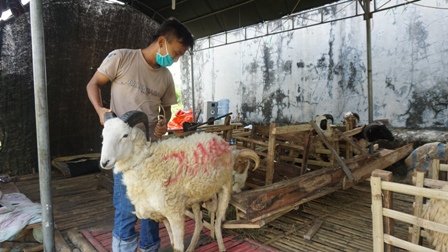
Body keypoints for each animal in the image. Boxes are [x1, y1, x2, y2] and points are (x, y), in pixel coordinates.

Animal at [100, 110, 238, 252]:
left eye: (125, 135)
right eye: (103, 135)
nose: (104, 162)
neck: (145, 162)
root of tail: (218, 138)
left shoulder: (174, 213)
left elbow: (178, 248)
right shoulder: (161, 214)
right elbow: (172, 243)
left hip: (226, 186)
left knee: (217, 223)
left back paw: (222, 247)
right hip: (196, 197)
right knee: (199, 224)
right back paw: (191, 247)